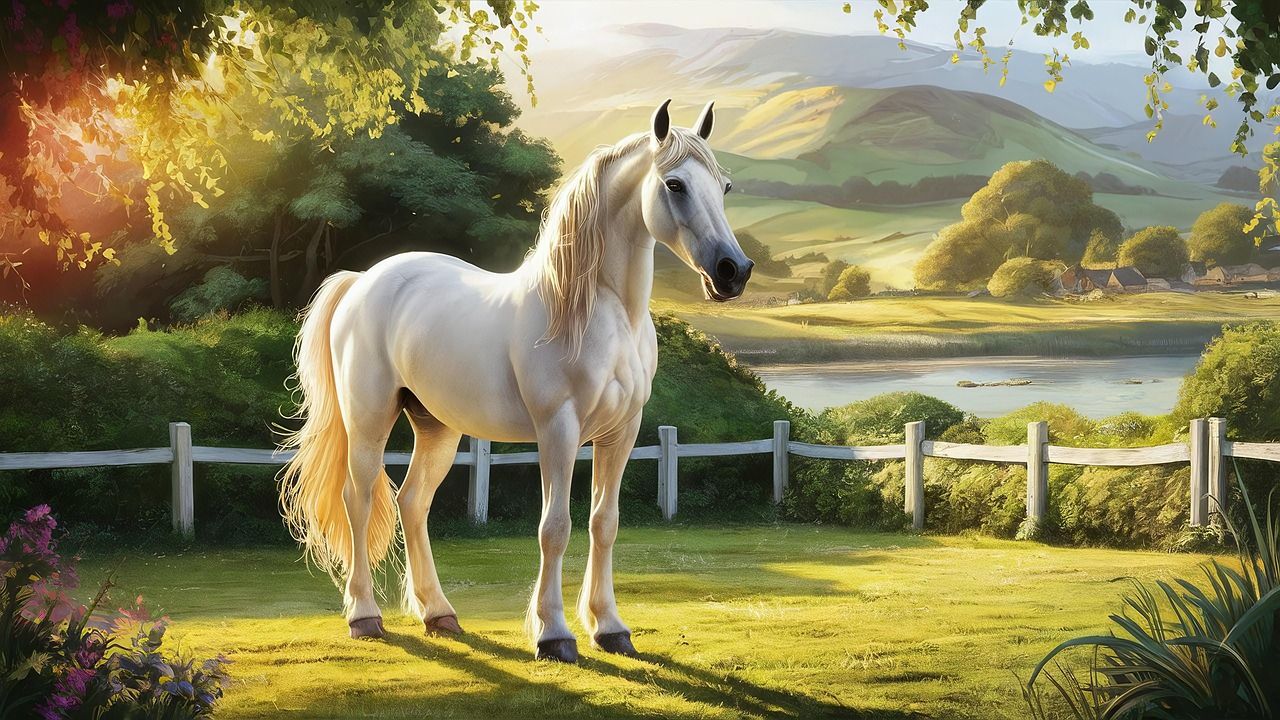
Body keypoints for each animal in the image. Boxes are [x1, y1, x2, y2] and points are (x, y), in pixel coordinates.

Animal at [278, 99, 752, 663]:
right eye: (675, 184)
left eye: (725, 186)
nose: (733, 271)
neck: (599, 312)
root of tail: (362, 281)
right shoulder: (558, 430)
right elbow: (555, 527)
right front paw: (554, 635)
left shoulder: (622, 432)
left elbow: (604, 523)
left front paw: (610, 627)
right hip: (369, 420)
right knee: (359, 499)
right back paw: (364, 616)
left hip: (436, 427)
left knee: (412, 502)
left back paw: (439, 614)